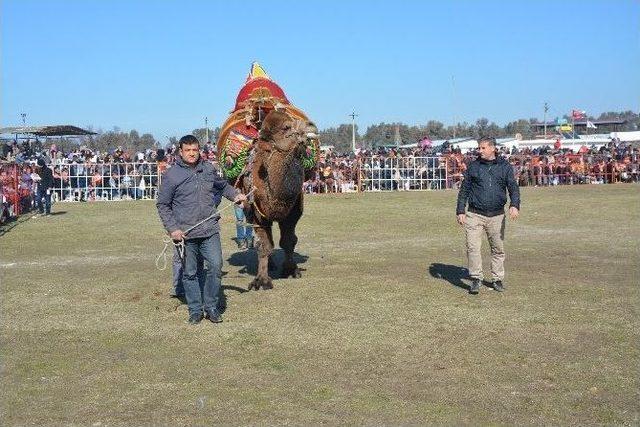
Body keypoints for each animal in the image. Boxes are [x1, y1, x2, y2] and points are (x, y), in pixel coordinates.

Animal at [216, 62, 318, 290]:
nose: (311, 125)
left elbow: (289, 241)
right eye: (287, 127)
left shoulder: (293, 211)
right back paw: (268, 265)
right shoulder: (256, 212)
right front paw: (261, 281)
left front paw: (291, 270)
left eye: (293, 120)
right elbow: (264, 245)